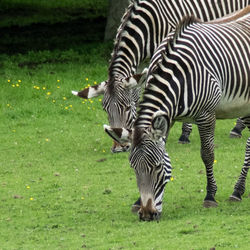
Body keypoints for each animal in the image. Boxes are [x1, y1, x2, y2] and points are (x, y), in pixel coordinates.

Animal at [71, 0, 249, 152]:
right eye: (105, 109)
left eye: (127, 107)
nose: (119, 148)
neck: (147, 24)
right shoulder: (141, 62)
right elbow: (138, 94)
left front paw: (185, 134)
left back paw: (238, 127)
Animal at [106, 7, 250, 222]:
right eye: (133, 168)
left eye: (157, 167)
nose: (147, 215)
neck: (179, 76)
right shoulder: (168, 117)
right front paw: (137, 201)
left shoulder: (206, 114)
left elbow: (207, 154)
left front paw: (210, 195)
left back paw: (237, 190)